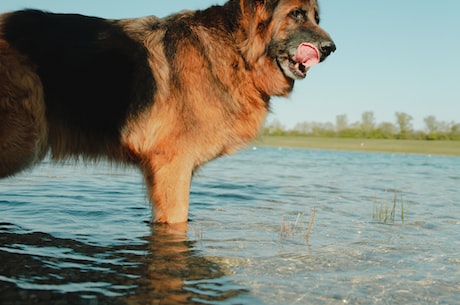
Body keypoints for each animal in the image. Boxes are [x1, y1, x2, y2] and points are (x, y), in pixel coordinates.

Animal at [0, 0, 334, 223]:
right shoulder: (173, 166)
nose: (331, 49)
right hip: (22, 140)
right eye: (296, 14)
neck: (235, 49)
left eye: (316, 17)